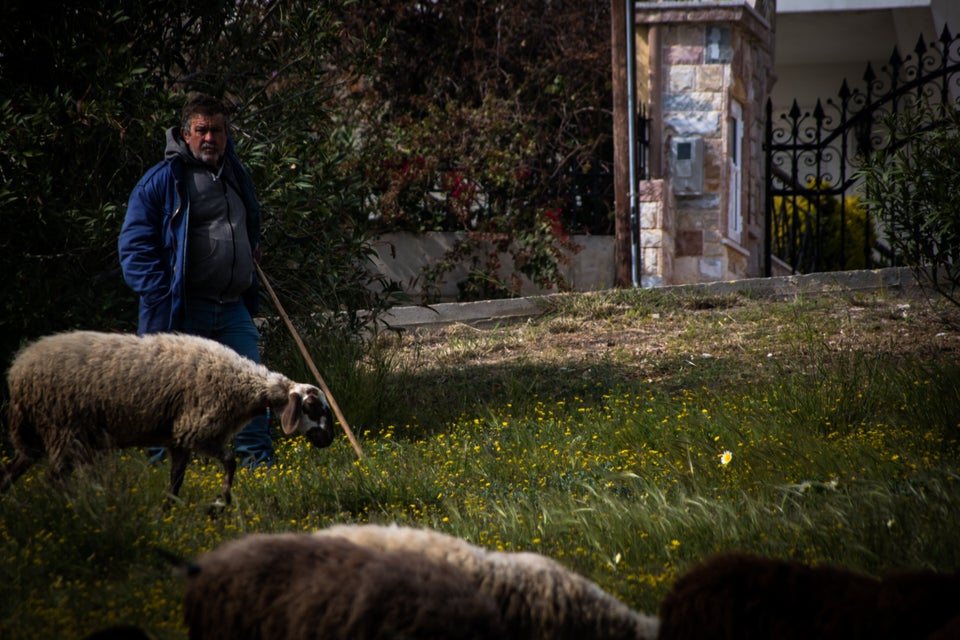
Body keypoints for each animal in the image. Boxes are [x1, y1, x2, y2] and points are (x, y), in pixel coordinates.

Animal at [1, 330, 336, 504]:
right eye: (313, 407)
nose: (330, 439)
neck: (244, 385)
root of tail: (19, 367)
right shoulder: (196, 429)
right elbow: (229, 462)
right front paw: (221, 503)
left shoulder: (180, 438)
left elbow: (176, 480)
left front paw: (167, 511)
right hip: (62, 427)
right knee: (54, 477)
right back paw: (71, 511)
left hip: (35, 430)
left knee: (15, 468)